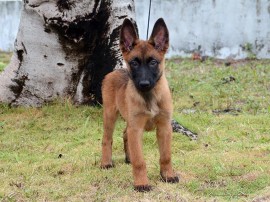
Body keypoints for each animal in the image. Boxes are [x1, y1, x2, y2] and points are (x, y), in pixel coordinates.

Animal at [100, 18, 178, 192]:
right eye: (134, 63)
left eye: (153, 62)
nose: (144, 84)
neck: (149, 97)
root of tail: (116, 70)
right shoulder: (136, 128)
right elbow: (139, 161)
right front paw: (141, 183)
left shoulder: (164, 127)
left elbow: (166, 156)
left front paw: (167, 176)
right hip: (110, 114)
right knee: (107, 138)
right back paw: (106, 162)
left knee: (124, 134)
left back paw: (128, 157)